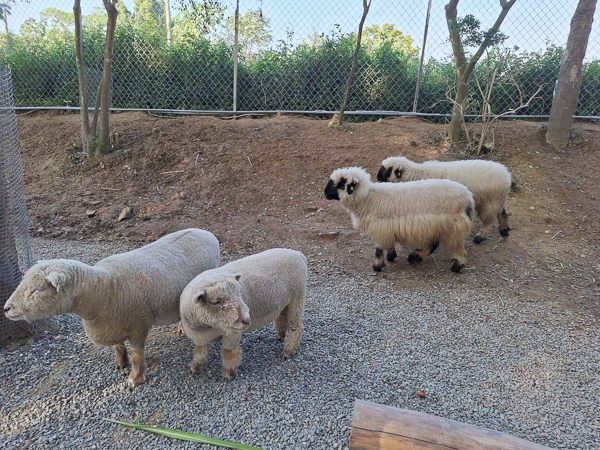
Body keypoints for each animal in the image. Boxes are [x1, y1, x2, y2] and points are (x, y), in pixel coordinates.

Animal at [3, 229, 219, 386]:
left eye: (37, 290)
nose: (6, 309)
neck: (104, 288)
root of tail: (205, 231)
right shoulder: (113, 323)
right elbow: (118, 346)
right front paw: (120, 363)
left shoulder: (139, 325)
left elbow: (137, 355)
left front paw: (135, 379)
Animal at [326, 167, 476, 272]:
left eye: (341, 183)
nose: (325, 193)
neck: (368, 199)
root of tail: (468, 197)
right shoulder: (386, 227)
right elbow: (388, 245)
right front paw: (391, 256)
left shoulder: (380, 228)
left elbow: (378, 249)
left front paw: (377, 265)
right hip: (436, 226)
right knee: (433, 245)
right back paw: (415, 257)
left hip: (454, 227)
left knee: (458, 248)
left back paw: (456, 266)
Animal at [376, 156, 510, 244]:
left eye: (389, 169)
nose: (377, 177)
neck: (417, 174)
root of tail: (506, 175)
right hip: (498, 200)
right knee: (502, 213)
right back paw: (504, 230)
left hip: (489, 201)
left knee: (488, 220)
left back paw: (480, 237)